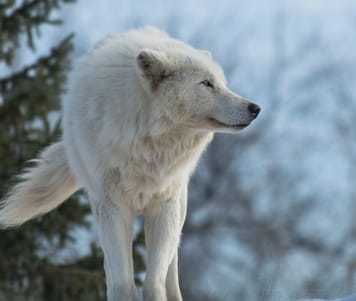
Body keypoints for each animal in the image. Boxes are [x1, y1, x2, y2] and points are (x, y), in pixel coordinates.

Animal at [0, 27, 262, 298]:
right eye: (206, 83)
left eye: (222, 83)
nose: (255, 108)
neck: (148, 140)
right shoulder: (113, 208)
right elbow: (123, 282)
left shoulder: (164, 205)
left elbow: (154, 281)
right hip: (101, 211)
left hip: (179, 208)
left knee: (171, 269)